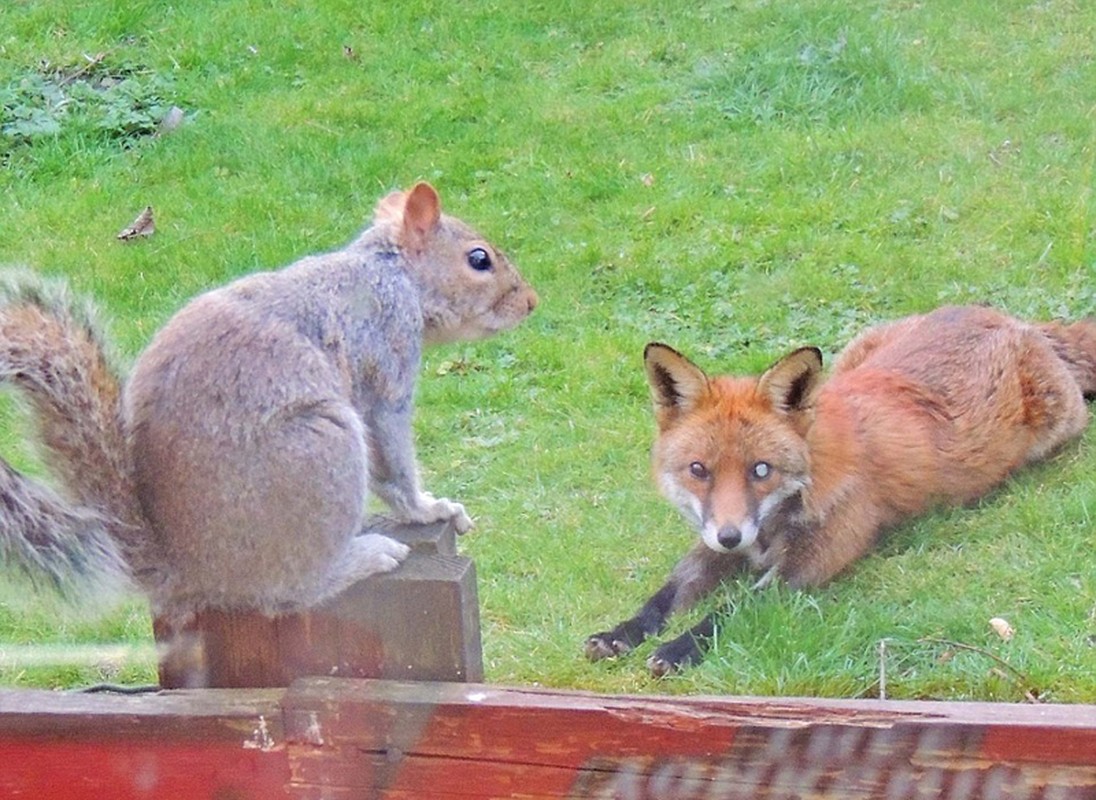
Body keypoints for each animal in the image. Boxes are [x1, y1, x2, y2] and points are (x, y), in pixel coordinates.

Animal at [0, 180, 534, 618]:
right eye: (479, 259)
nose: (530, 303)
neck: (390, 269)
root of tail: (185, 569)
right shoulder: (386, 354)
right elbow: (392, 453)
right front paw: (430, 509)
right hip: (322, 451)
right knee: (291, 591)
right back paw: (363, 557)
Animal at [591, 304, 1096, 675]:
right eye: (699, 469)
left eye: (760, 470)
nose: (731, 537)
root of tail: (1012, 320)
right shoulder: (712, 543)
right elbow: (665, 595)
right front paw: (621, 633)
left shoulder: (803, 570)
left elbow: (731, 609)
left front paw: (679, 648)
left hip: (1058, 428)